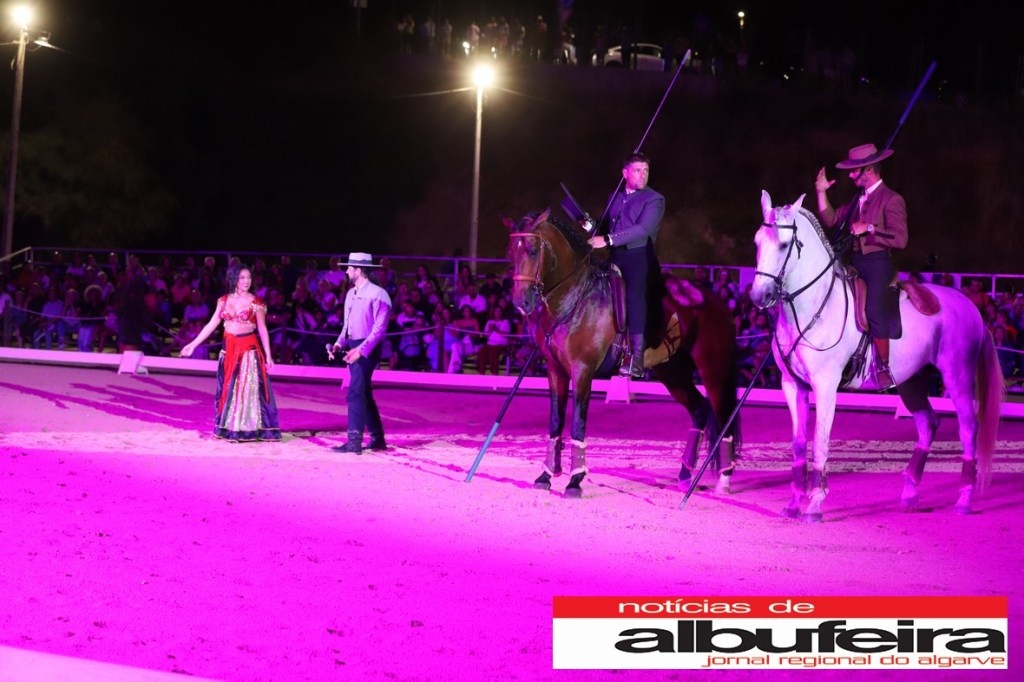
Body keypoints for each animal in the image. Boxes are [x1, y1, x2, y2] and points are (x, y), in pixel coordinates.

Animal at [505, 209, 741, 498]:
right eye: (511, 252)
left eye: (534, 250)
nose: (521, 302)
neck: (576, 295)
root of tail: (716, 300)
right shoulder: (555, 371)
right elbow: (555, 421)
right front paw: (546, 475)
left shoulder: (582, 371)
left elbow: (577, 424)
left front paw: (575, 480)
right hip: (672, 372)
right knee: (699, 409)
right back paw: (685, 475)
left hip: (713, 370)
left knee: (724, 415)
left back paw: (724, 480)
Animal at [751, 191, 1002, 521]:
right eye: (757, 241)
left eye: (783, 245)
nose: (759, 297)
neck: (814, 306)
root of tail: (970, 306)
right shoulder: (792, 386)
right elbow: (799, 444)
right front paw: (793, 504)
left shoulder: (825, 386)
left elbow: (820, 441)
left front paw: (815, 503)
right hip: (910, 380)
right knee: (928, 423)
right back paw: (910, 494)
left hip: (956, 374)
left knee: (968, 428)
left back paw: (963, 499)